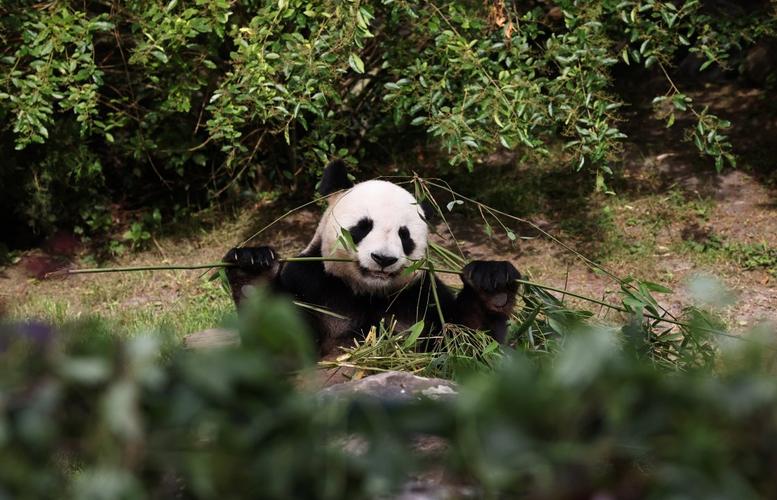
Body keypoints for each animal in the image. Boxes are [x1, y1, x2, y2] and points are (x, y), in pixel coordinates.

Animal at [221, 161, 520, 356]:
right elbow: (280, 346)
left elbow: (468, 347)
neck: (367, 291)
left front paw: (492, 282)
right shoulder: (311, 283)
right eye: (362, 228)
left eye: (404, 236)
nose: (383, 259)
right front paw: (252, 270)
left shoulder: (420, 296)